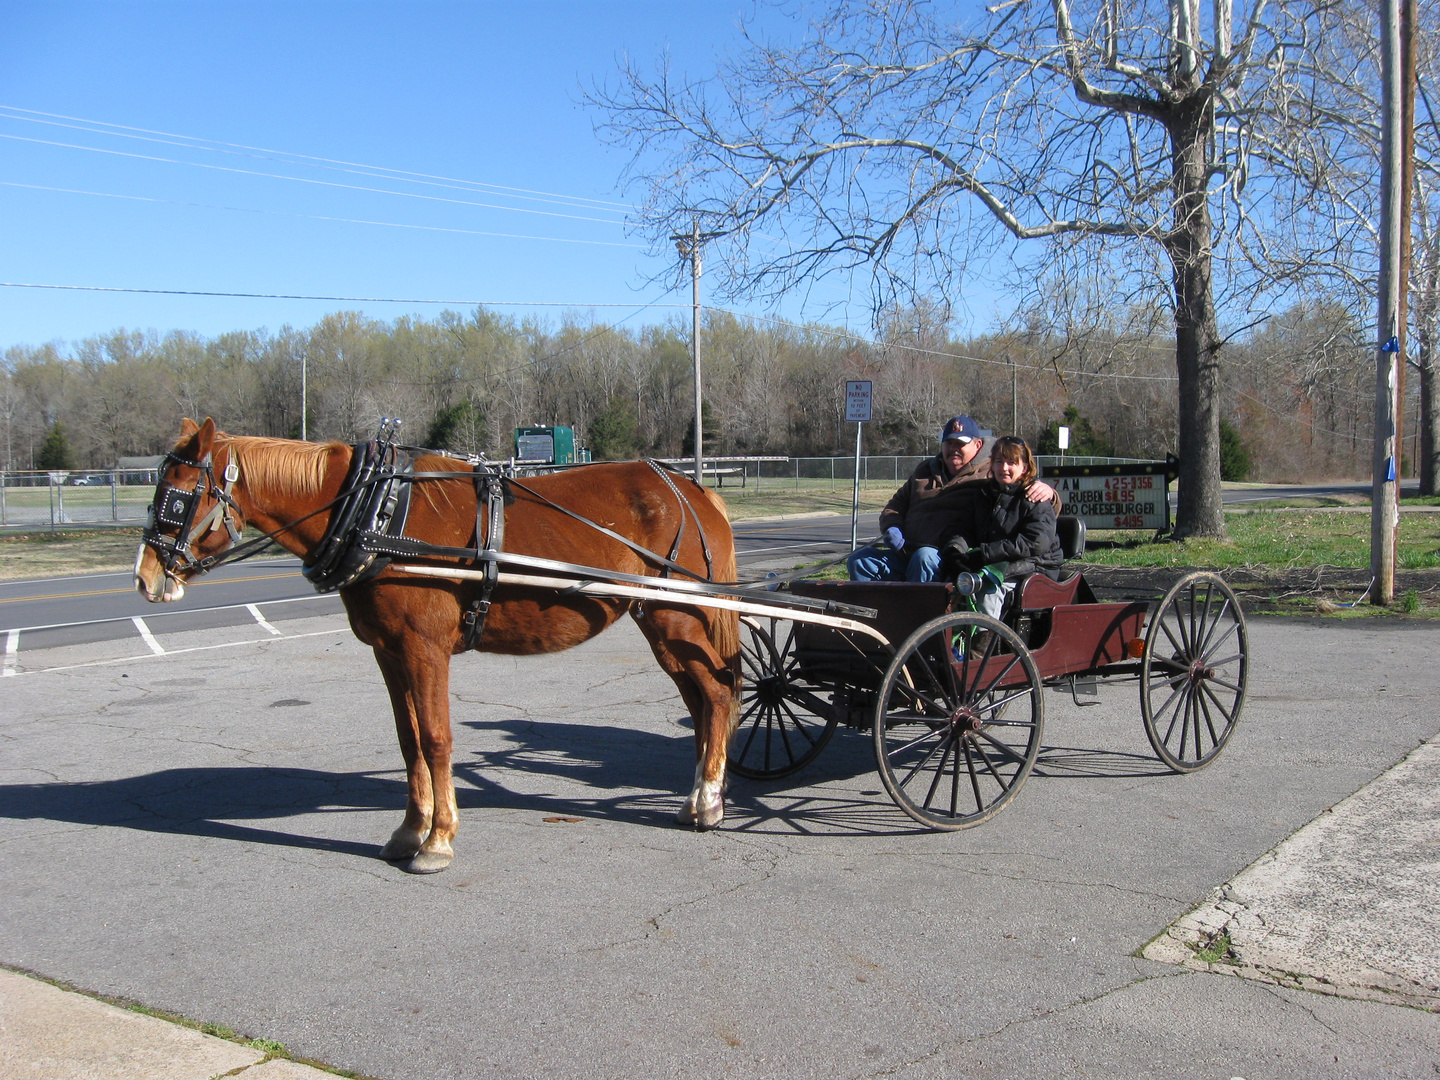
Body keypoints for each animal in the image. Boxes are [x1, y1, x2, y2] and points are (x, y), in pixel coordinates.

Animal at [133, 417, 743, 875]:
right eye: (156, 490)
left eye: (178, 497)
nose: (145, 578)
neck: (378, 513)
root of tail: (691, 489)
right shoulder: (388, 651)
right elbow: (409, 742)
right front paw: (409, 830)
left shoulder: (423, 647)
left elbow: (436, 738)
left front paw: (439, 840)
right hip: (662, 625)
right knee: (701, 701)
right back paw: (696, 796)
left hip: (675, 618)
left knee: (716, 696)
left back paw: (709, 803)